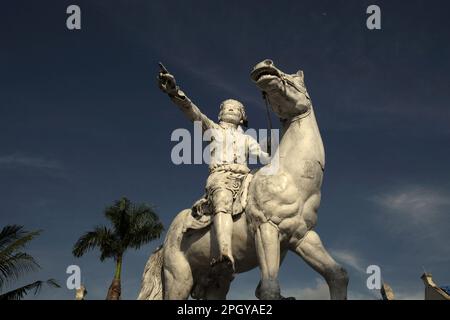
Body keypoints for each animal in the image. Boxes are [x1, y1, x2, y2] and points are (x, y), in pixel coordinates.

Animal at [139, 59, 350, 300]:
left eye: (296, 80)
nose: (266, 67)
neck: (291, 178)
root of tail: (164, 243)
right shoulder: (266, 228)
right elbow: (269, 288)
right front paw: (170, 86)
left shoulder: (303, 237)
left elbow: (338, 275)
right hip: (179, 279)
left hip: (216, 284)